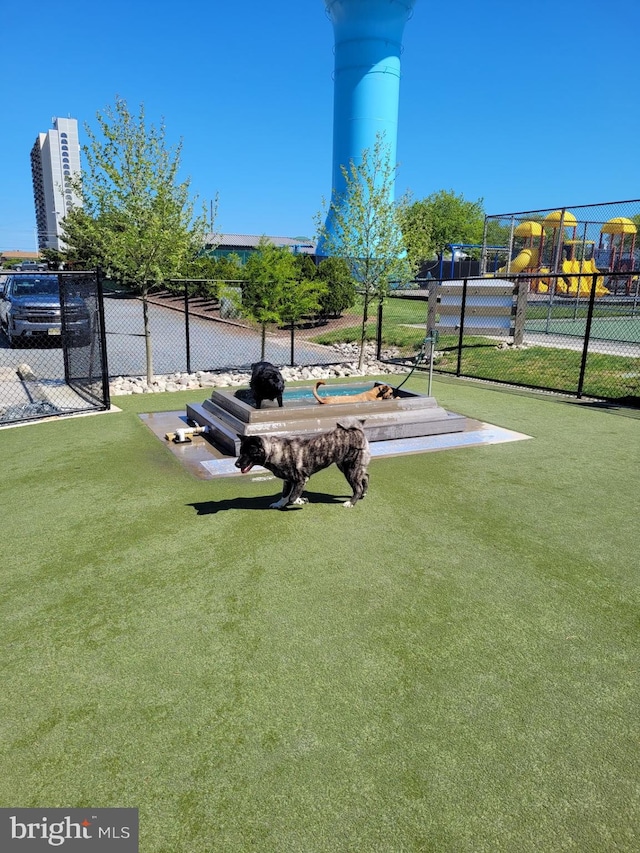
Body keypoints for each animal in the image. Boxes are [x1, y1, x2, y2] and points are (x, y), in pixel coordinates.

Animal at [235, 418, 370, 506]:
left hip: (350, 469)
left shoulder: (301, 479)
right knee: (365, 477)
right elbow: (285, 495)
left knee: (358, 487)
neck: (274, 450)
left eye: (248, 453)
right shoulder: (288, 481)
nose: (236, 464)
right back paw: (363, 494)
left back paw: (351, 502)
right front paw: (279, 504)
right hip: (346, 466)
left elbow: (292, 497)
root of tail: (356, 431)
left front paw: (300, 501)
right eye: (240, 452)